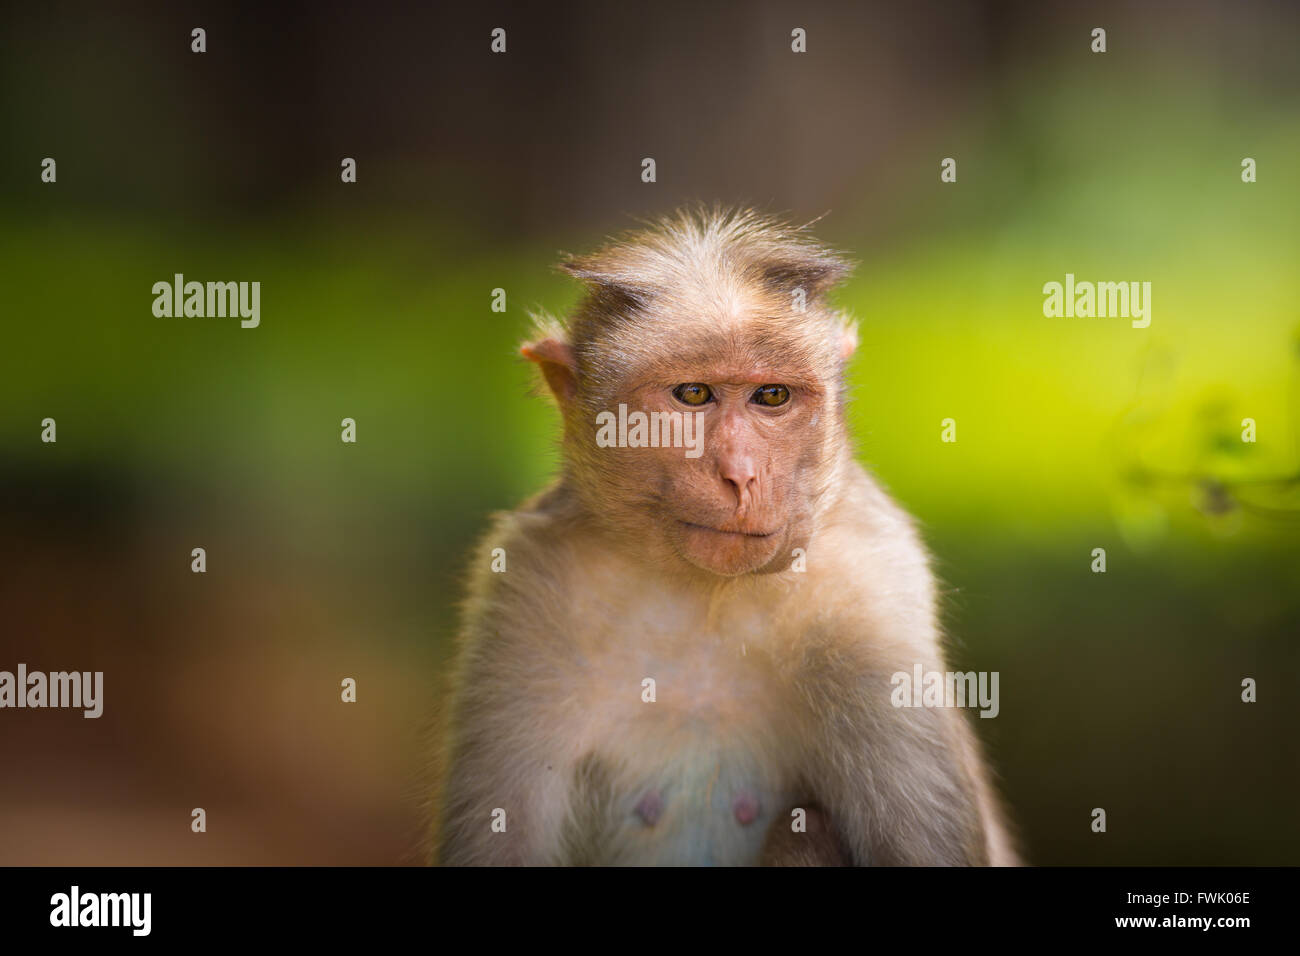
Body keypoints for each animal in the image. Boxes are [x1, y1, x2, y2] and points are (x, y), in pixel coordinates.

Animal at [431, 208, 1019, 868]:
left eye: (772, 396)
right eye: (693, 394)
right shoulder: (527, 585)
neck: (706, 594)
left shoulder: (872, 598)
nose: (741, 474)